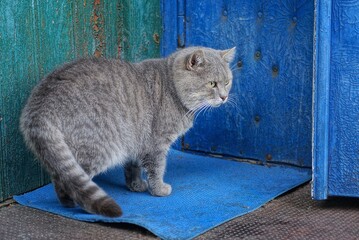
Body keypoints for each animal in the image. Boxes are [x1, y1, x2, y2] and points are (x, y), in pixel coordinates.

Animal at [21, 46, 238, 217]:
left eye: (227, 82)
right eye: (212, 84)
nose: (224, 97)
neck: (171, 87)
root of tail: (41, 103)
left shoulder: (135, 138)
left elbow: (132, 167)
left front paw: (135, 185)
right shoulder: (156, 144)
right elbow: (157, 169)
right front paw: (158, 189)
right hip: (98, 149)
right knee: (68, 180)